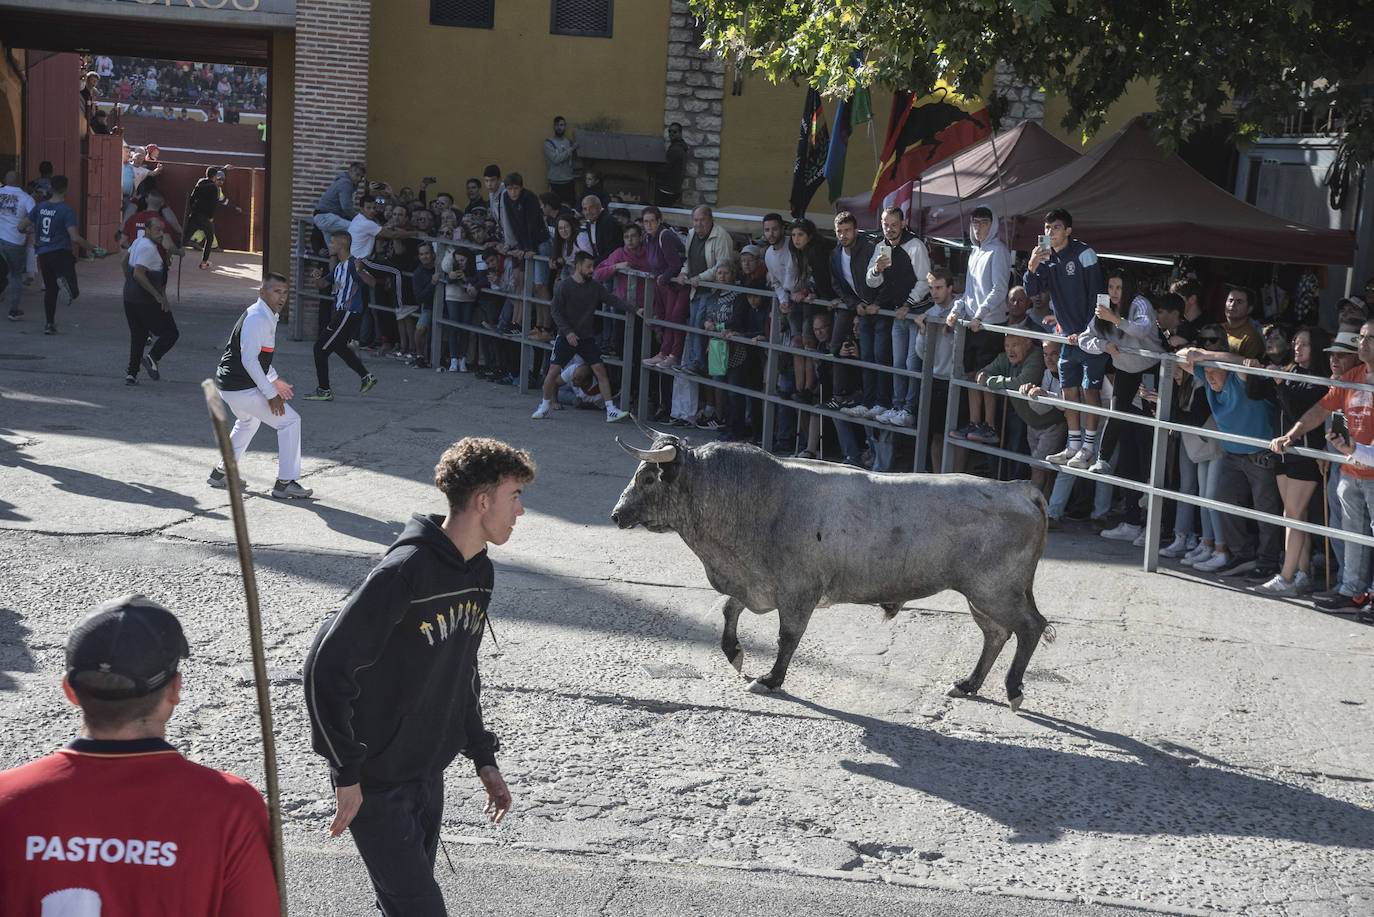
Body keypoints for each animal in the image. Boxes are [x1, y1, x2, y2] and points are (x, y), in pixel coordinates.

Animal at [610, 437, 1049, 709]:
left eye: (648, 477)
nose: (616, 515)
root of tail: (1020, 488)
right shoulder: (757, 584)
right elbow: (728, 608)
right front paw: (734, 653)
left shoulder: (797, 593)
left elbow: (787, 637)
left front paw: (770, 679)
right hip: (982, 596)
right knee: (996, 634)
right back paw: (968, 684)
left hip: (995, 590)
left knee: (1029, 627)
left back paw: (1012, 689)